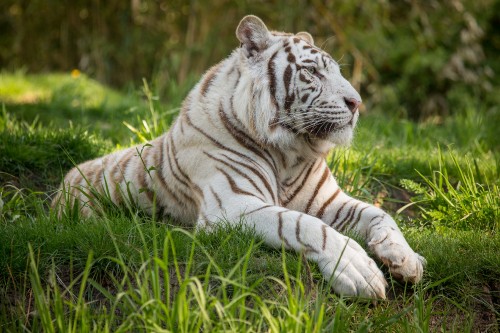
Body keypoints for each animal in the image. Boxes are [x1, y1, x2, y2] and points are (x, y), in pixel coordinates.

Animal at [52, 15, 424, 296]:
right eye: (313, 72)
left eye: (338, 71)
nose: (357, 103)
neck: (289, 152)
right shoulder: (232, 204)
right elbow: (302, 224)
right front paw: (359, 270)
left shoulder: (327, 201)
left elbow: (379, 214)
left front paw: (405, 259)